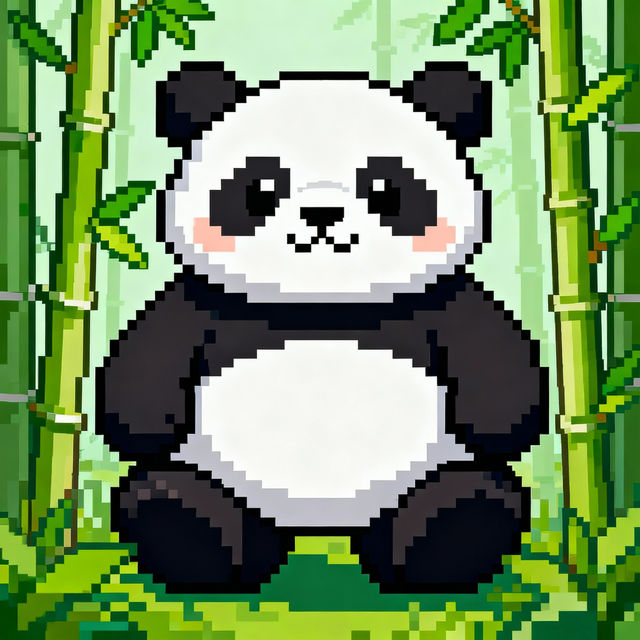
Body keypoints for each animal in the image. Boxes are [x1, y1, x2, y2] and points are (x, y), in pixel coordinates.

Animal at [96, 61, 547, 594]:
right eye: (259, 189)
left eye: (386, 189)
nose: (322, 214)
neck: (322, 304)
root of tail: (322, 525)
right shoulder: (200, 302)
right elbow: (141, 374)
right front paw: (145, 423)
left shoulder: (446, 301)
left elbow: (501, 373)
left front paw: (496, 419)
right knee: (182, 492)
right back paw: (192, 526)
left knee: (467, 489)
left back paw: (446, 529)